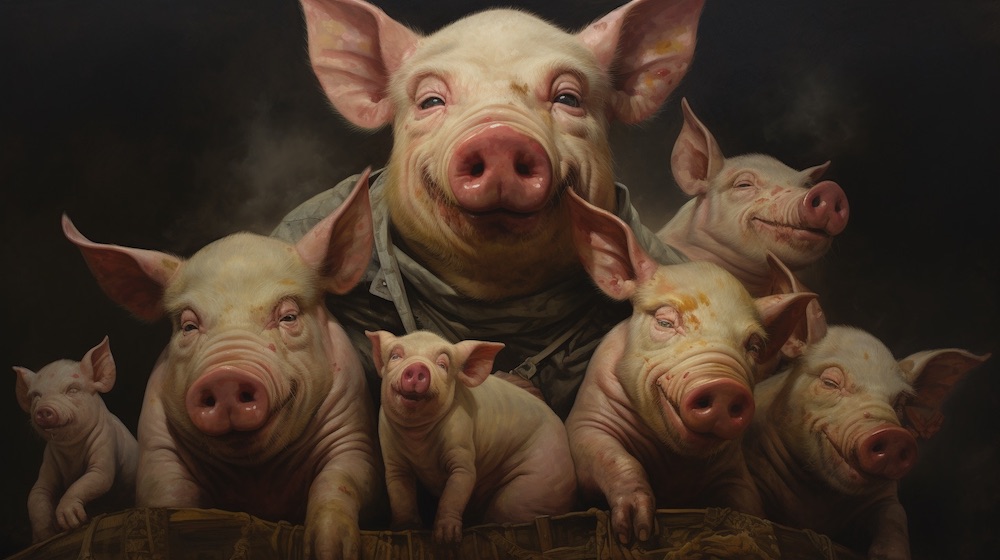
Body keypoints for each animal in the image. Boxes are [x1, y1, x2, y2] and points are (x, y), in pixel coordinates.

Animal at [13, 336, 138, 543]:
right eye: (36, 396)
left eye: (72, 389)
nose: (44, 409)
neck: (72, 450)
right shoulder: (48, 461)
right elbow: (37, 494)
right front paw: (45, 537)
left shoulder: (106, 446)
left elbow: (93, 479)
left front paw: (73, 523)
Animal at [61, 171, 383, 560]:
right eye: (188, 325)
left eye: (288, 316)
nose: (226, 378)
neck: (258, 479)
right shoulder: (158, 448)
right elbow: (167, 497)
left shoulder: (353, 434)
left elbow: (341, 481)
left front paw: (329, 550)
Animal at [367, 329, 577, 544]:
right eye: (395, 356)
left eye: (443, 365)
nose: (418, 366)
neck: (417, 440)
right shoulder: (391, 454)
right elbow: (399, 494)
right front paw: (404, 529)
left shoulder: (461, 438)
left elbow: (458, 487)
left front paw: (447, 537)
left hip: (532, 488)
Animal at [563, 189, 817, 546]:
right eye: (665, 321)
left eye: (753, 345)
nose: (724, 387)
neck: (673, 466)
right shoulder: (586, 422)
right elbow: (615, 459)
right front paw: (637, 533)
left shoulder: (733, 467)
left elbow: (747, 504)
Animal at [744, 323, 990, 560]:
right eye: (830, 382)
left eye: (899, 403)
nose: (893, 434)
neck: (816, 499)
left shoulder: (886, 497)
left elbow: (894, 517)